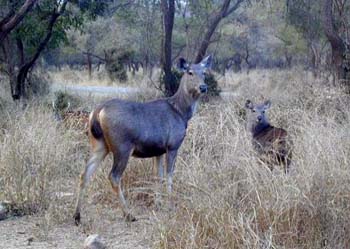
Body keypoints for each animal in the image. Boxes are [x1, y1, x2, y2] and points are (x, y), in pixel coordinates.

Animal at [73, 55, 212, 225]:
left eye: (204, 72)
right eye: (190, 72)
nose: (203, 87)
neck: (181, 113)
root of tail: (97, 112)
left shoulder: (159, 150)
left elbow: (158, 177)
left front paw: (159, 203)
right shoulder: (173, 145)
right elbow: (169, 175)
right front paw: (170, 203)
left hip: (99, 144)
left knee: (84, 173)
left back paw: (77, 216)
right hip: (122, 146)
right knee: (113, 176)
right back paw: (128, 214)